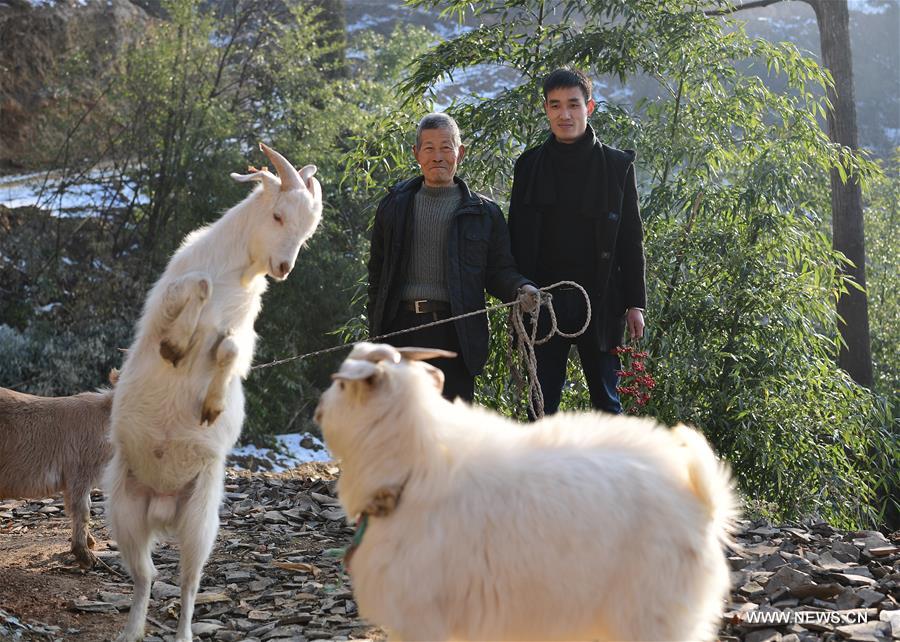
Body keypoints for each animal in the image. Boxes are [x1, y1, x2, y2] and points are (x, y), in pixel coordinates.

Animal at [105, 144, 322, 642]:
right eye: (278, 215)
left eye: (308, 230)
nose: (284, 269)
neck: (235, 274)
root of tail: (162, 507)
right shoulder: (167, 300)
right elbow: (198, 287)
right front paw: (176, 345)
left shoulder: (241, 331)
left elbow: (228, 350)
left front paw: (212, 406)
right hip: (123, 509)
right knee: (146, 575)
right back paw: (131, 630)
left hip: (201, 517)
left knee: (186, 580)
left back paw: (182, 633)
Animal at [315, 342, 737, 642]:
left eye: (342, 383)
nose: (318, 412)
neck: (413, 464)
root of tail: (701, 504)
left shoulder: (421, 616)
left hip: (652, 616)